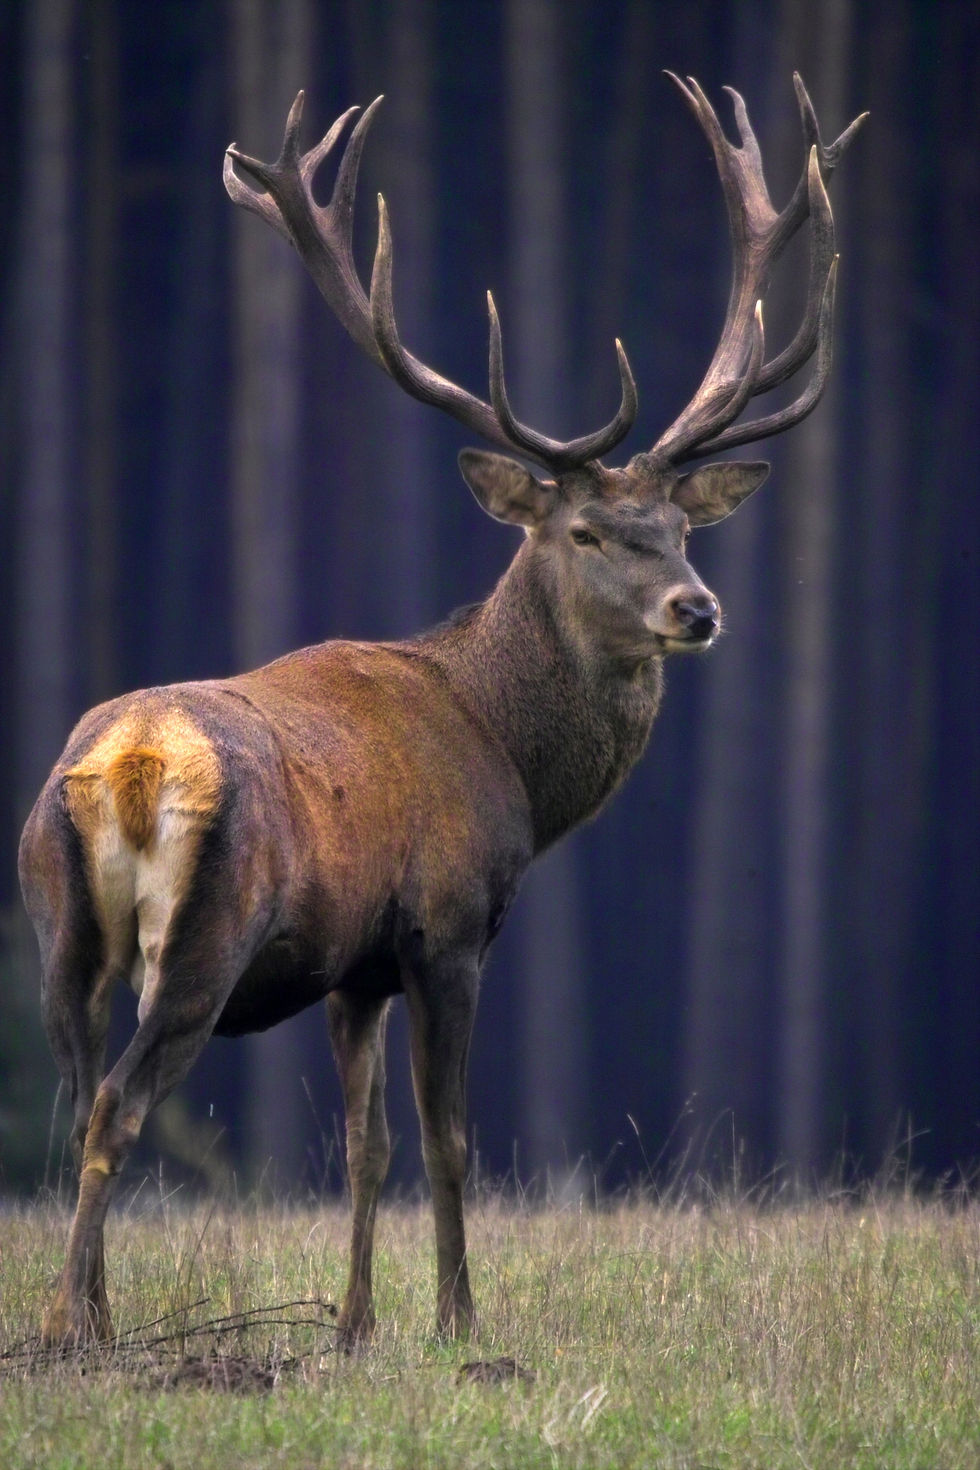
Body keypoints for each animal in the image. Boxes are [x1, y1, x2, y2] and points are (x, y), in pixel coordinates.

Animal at [20, 72, 865, 1350]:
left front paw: (354, 1325)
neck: (502, 746)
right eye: (585, 531)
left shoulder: (352, 968)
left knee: (75, 1100)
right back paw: (79, 1325)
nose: (697, 607)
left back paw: (93, 1319)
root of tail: (124, 765)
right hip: (206, 933)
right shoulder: (447, 924)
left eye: (680, 525)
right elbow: (449, 1140)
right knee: (117, 1103)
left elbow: (366, 1148)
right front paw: (461, 1325)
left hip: (58, 927)